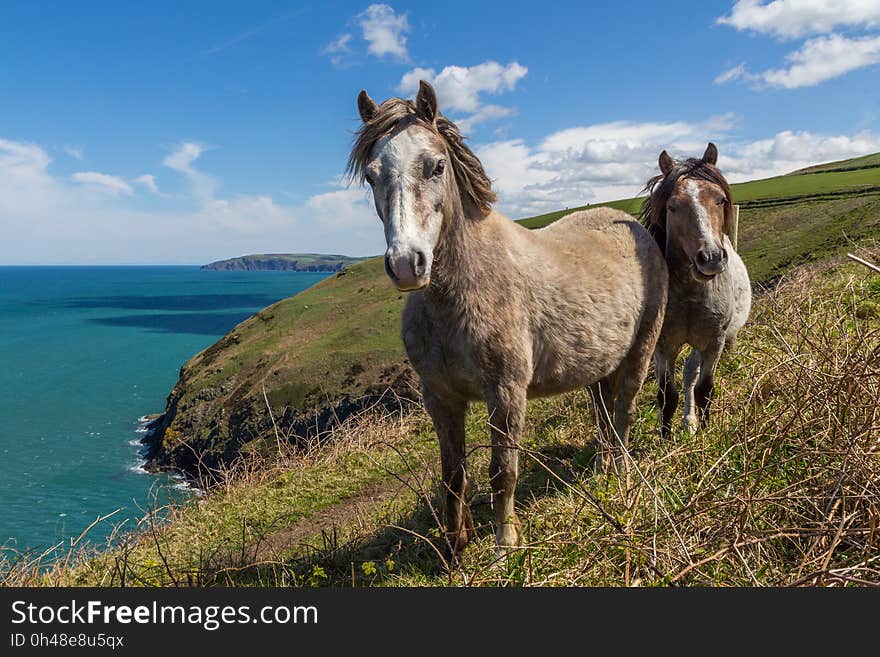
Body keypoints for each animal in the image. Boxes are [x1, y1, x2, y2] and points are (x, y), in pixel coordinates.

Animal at [348, 79, 668, 556]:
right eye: (372, 175)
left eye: (436, 166)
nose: (406, 264)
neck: (458, 296)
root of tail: (634, 226)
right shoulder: (440, 398)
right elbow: (453, 476)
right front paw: (455, 549)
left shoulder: (506, 393)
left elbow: (503, 471)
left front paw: (505, 547)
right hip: (597, 367)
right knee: (605, 416)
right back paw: (604, 470)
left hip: (640, 353)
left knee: (624, 414)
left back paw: (624, 477)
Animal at [644, 146, 752, 438]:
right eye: (672, 207)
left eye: (720, 200)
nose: (711, 258)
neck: (690, 295)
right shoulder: (664, 346)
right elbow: (666, 395)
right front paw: (665, 438)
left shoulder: (714, 341)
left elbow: (704, 389)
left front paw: (706, 431)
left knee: (690, 373)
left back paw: (690, 421)